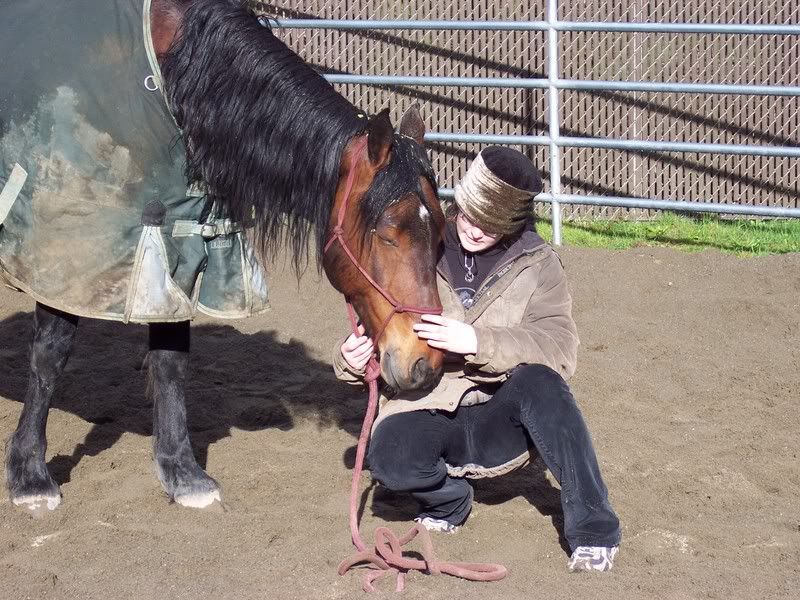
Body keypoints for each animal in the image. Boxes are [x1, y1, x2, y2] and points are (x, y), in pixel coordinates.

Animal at [0, 0, 446, 512]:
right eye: (388, 233)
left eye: (441, 237)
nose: (426, 365)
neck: (173, 75)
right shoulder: (68, 241)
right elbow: (50, 354)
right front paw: (30, 475)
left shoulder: (178, 240)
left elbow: (170, 361)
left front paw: (182, 473)